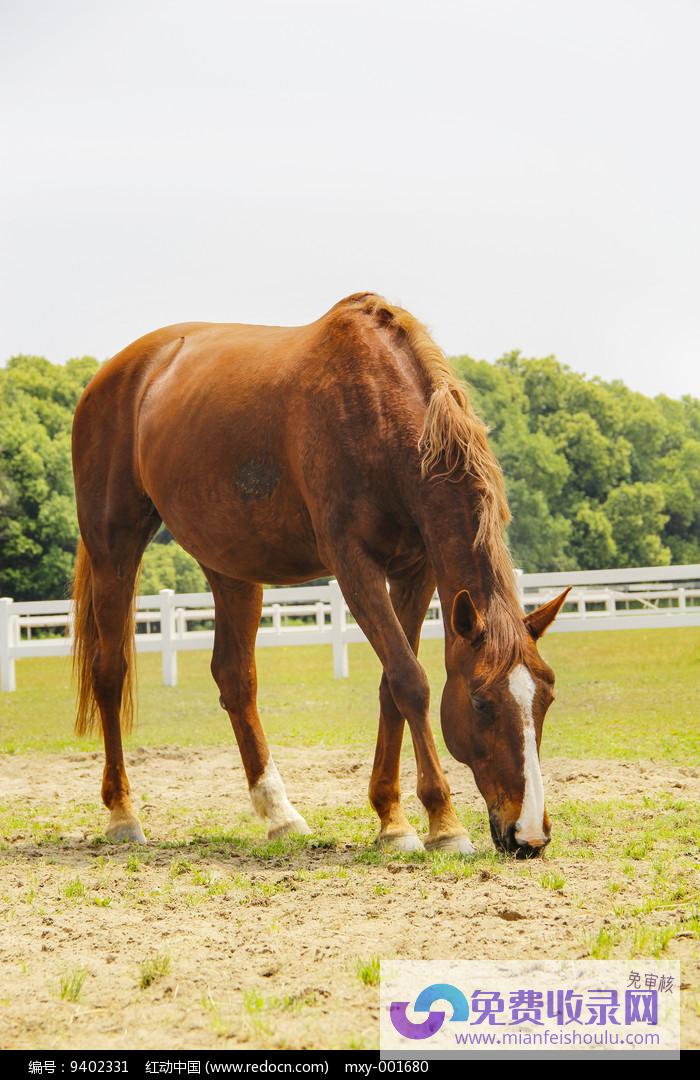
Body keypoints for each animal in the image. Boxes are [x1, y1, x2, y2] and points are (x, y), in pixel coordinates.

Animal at [71, 291, 570, 855]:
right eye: (482, 703)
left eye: (547, 697)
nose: (529, 834)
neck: (378, 412)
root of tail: (113, 375)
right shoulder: (354, 566)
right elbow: (411, 681)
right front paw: (443, 823)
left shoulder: (415, 570)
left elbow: (391, 685)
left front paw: (391, 818)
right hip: (114, 548)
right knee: (110, 671)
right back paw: (122, 814)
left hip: (230, 566)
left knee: (235, 679)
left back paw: (280, 815)